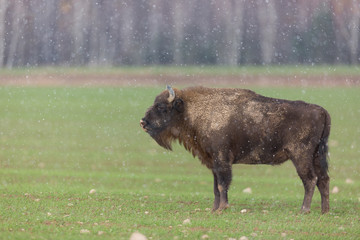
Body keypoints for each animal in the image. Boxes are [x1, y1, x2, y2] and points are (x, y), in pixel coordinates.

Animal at [139, 86, 330, 214]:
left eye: (161, 107)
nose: (143, 122)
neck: (195, 110)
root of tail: (322, 111)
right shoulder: (213, 163)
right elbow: (216, 187)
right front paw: (214, 209)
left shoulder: (222, 160)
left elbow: (223, 184)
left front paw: (222, 208)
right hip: (317, 156)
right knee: (323, 180)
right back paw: (324, 210)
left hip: (300, 156)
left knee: (310, 180)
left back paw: (304, 210)